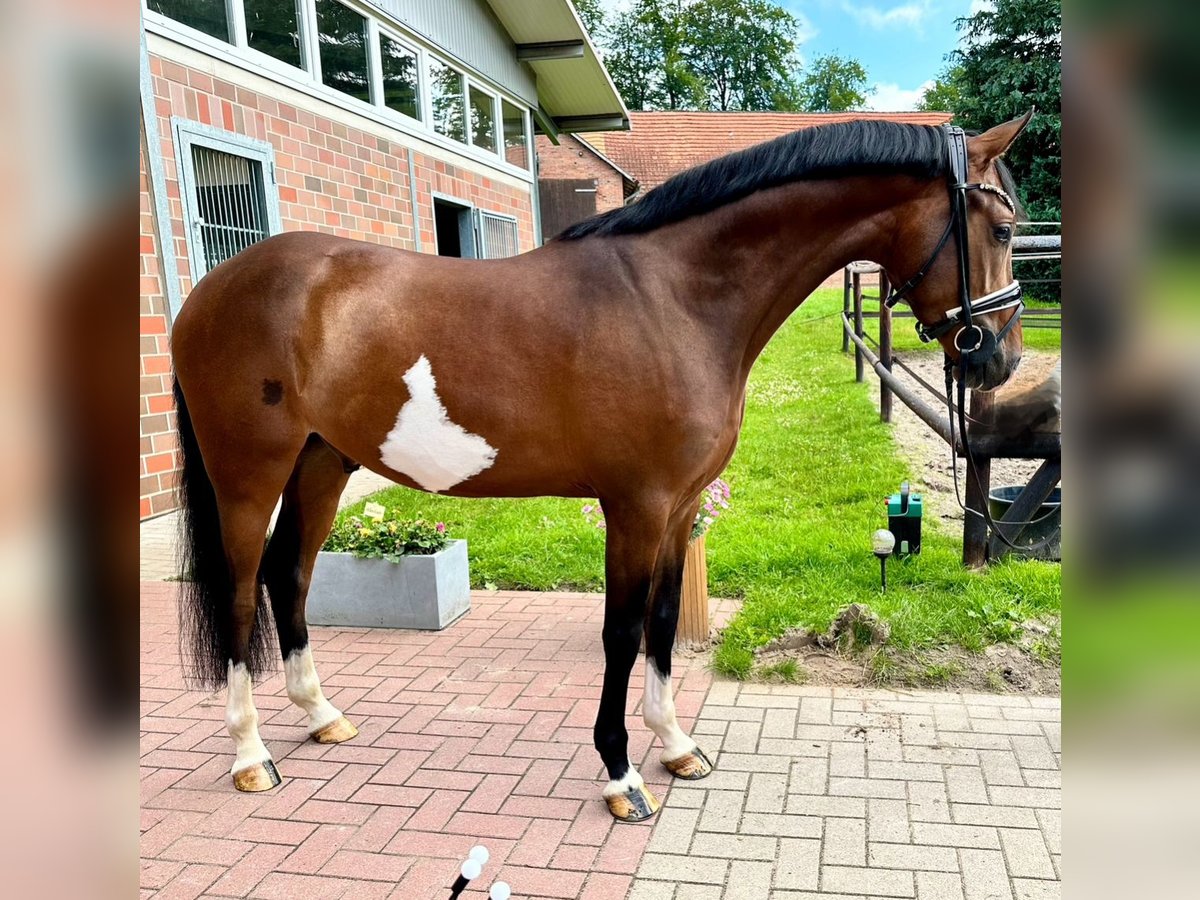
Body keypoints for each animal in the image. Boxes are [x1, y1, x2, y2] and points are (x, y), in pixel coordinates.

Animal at [169, 114, 1032, 825]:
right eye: (1001, 226)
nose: (1000, 360)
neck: (674, 299)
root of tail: (208, 292)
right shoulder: (636, 506)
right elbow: (621, 633)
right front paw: (622, 776)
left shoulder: (680, 508)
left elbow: (661, 625)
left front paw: (676, 746)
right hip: (248, 475)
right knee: (242, 591)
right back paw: (252, 757)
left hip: (323, 463)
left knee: (289, 575)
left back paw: (321, 717)